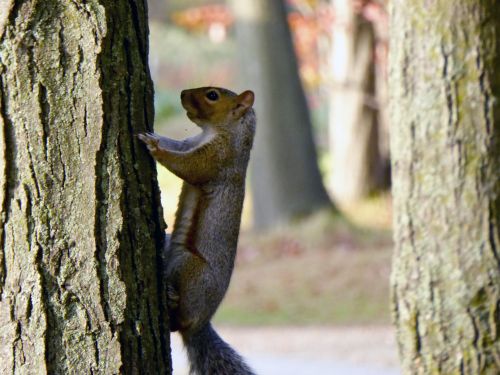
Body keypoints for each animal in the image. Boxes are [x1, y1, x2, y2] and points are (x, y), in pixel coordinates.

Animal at [139, 86, 256, 374]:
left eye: (212, 95)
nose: (182, 93)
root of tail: (202, 323)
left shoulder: (218, 158)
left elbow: (187, 167)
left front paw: (154, 148)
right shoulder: (189, 143)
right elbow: (176, 145)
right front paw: (155, 136)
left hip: (190, 266)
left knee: (178, 323)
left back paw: (171, 300)